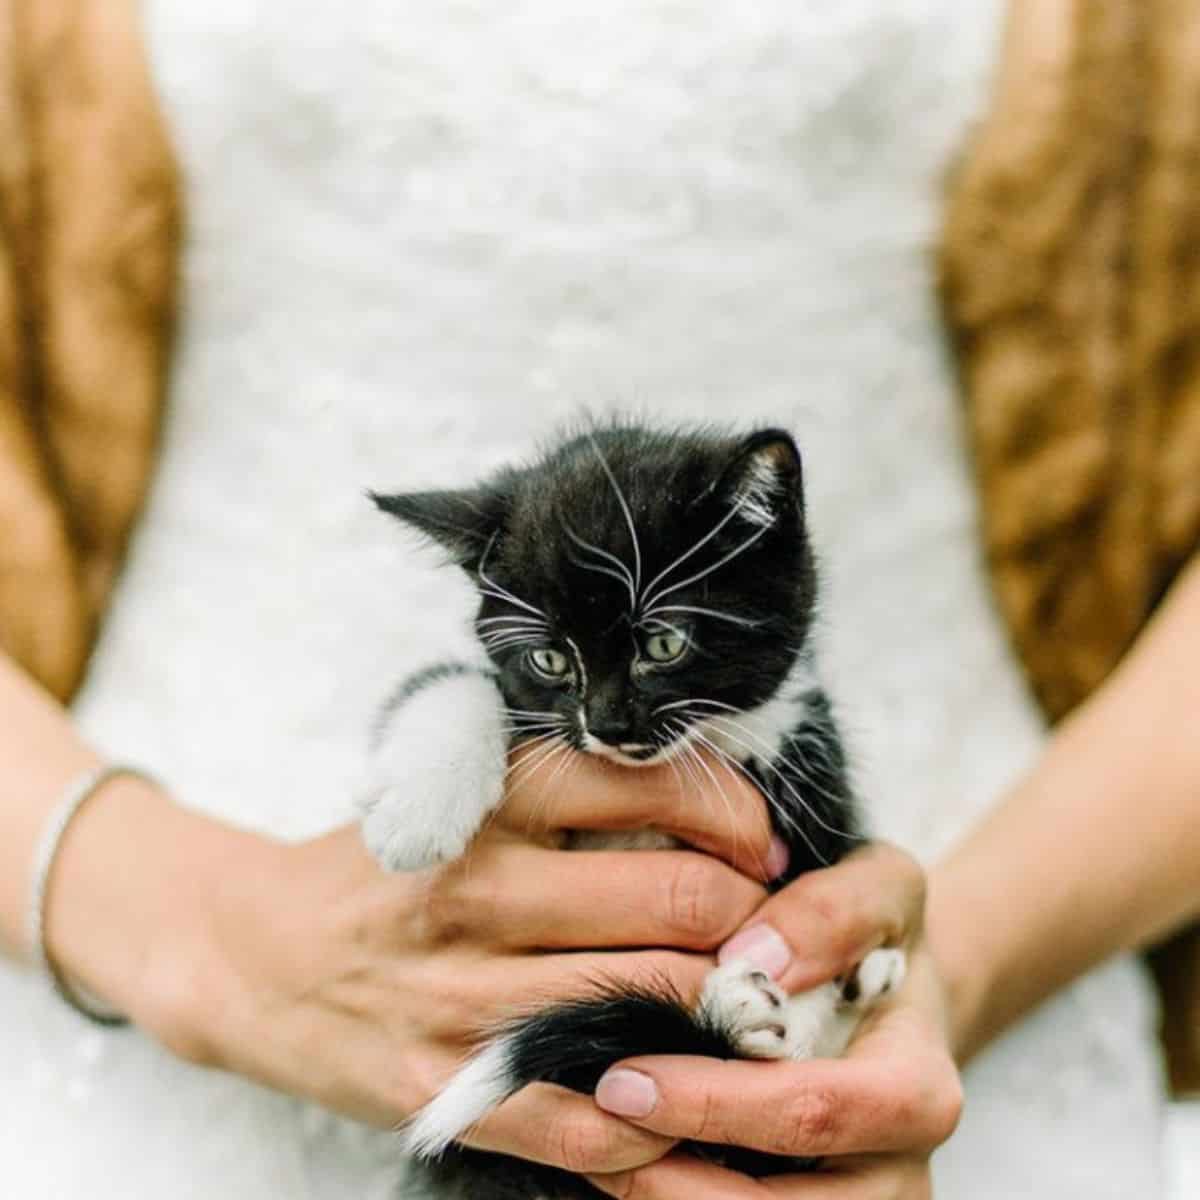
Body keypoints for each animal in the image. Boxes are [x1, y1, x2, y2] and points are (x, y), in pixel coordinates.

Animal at [360, 427, 902, 1195]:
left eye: (664, 643)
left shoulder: (810, 762)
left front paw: (782, 1018)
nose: (607, 724)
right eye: (551, 659)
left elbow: (811, 880)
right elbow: (450, 680)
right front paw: (416, 813)